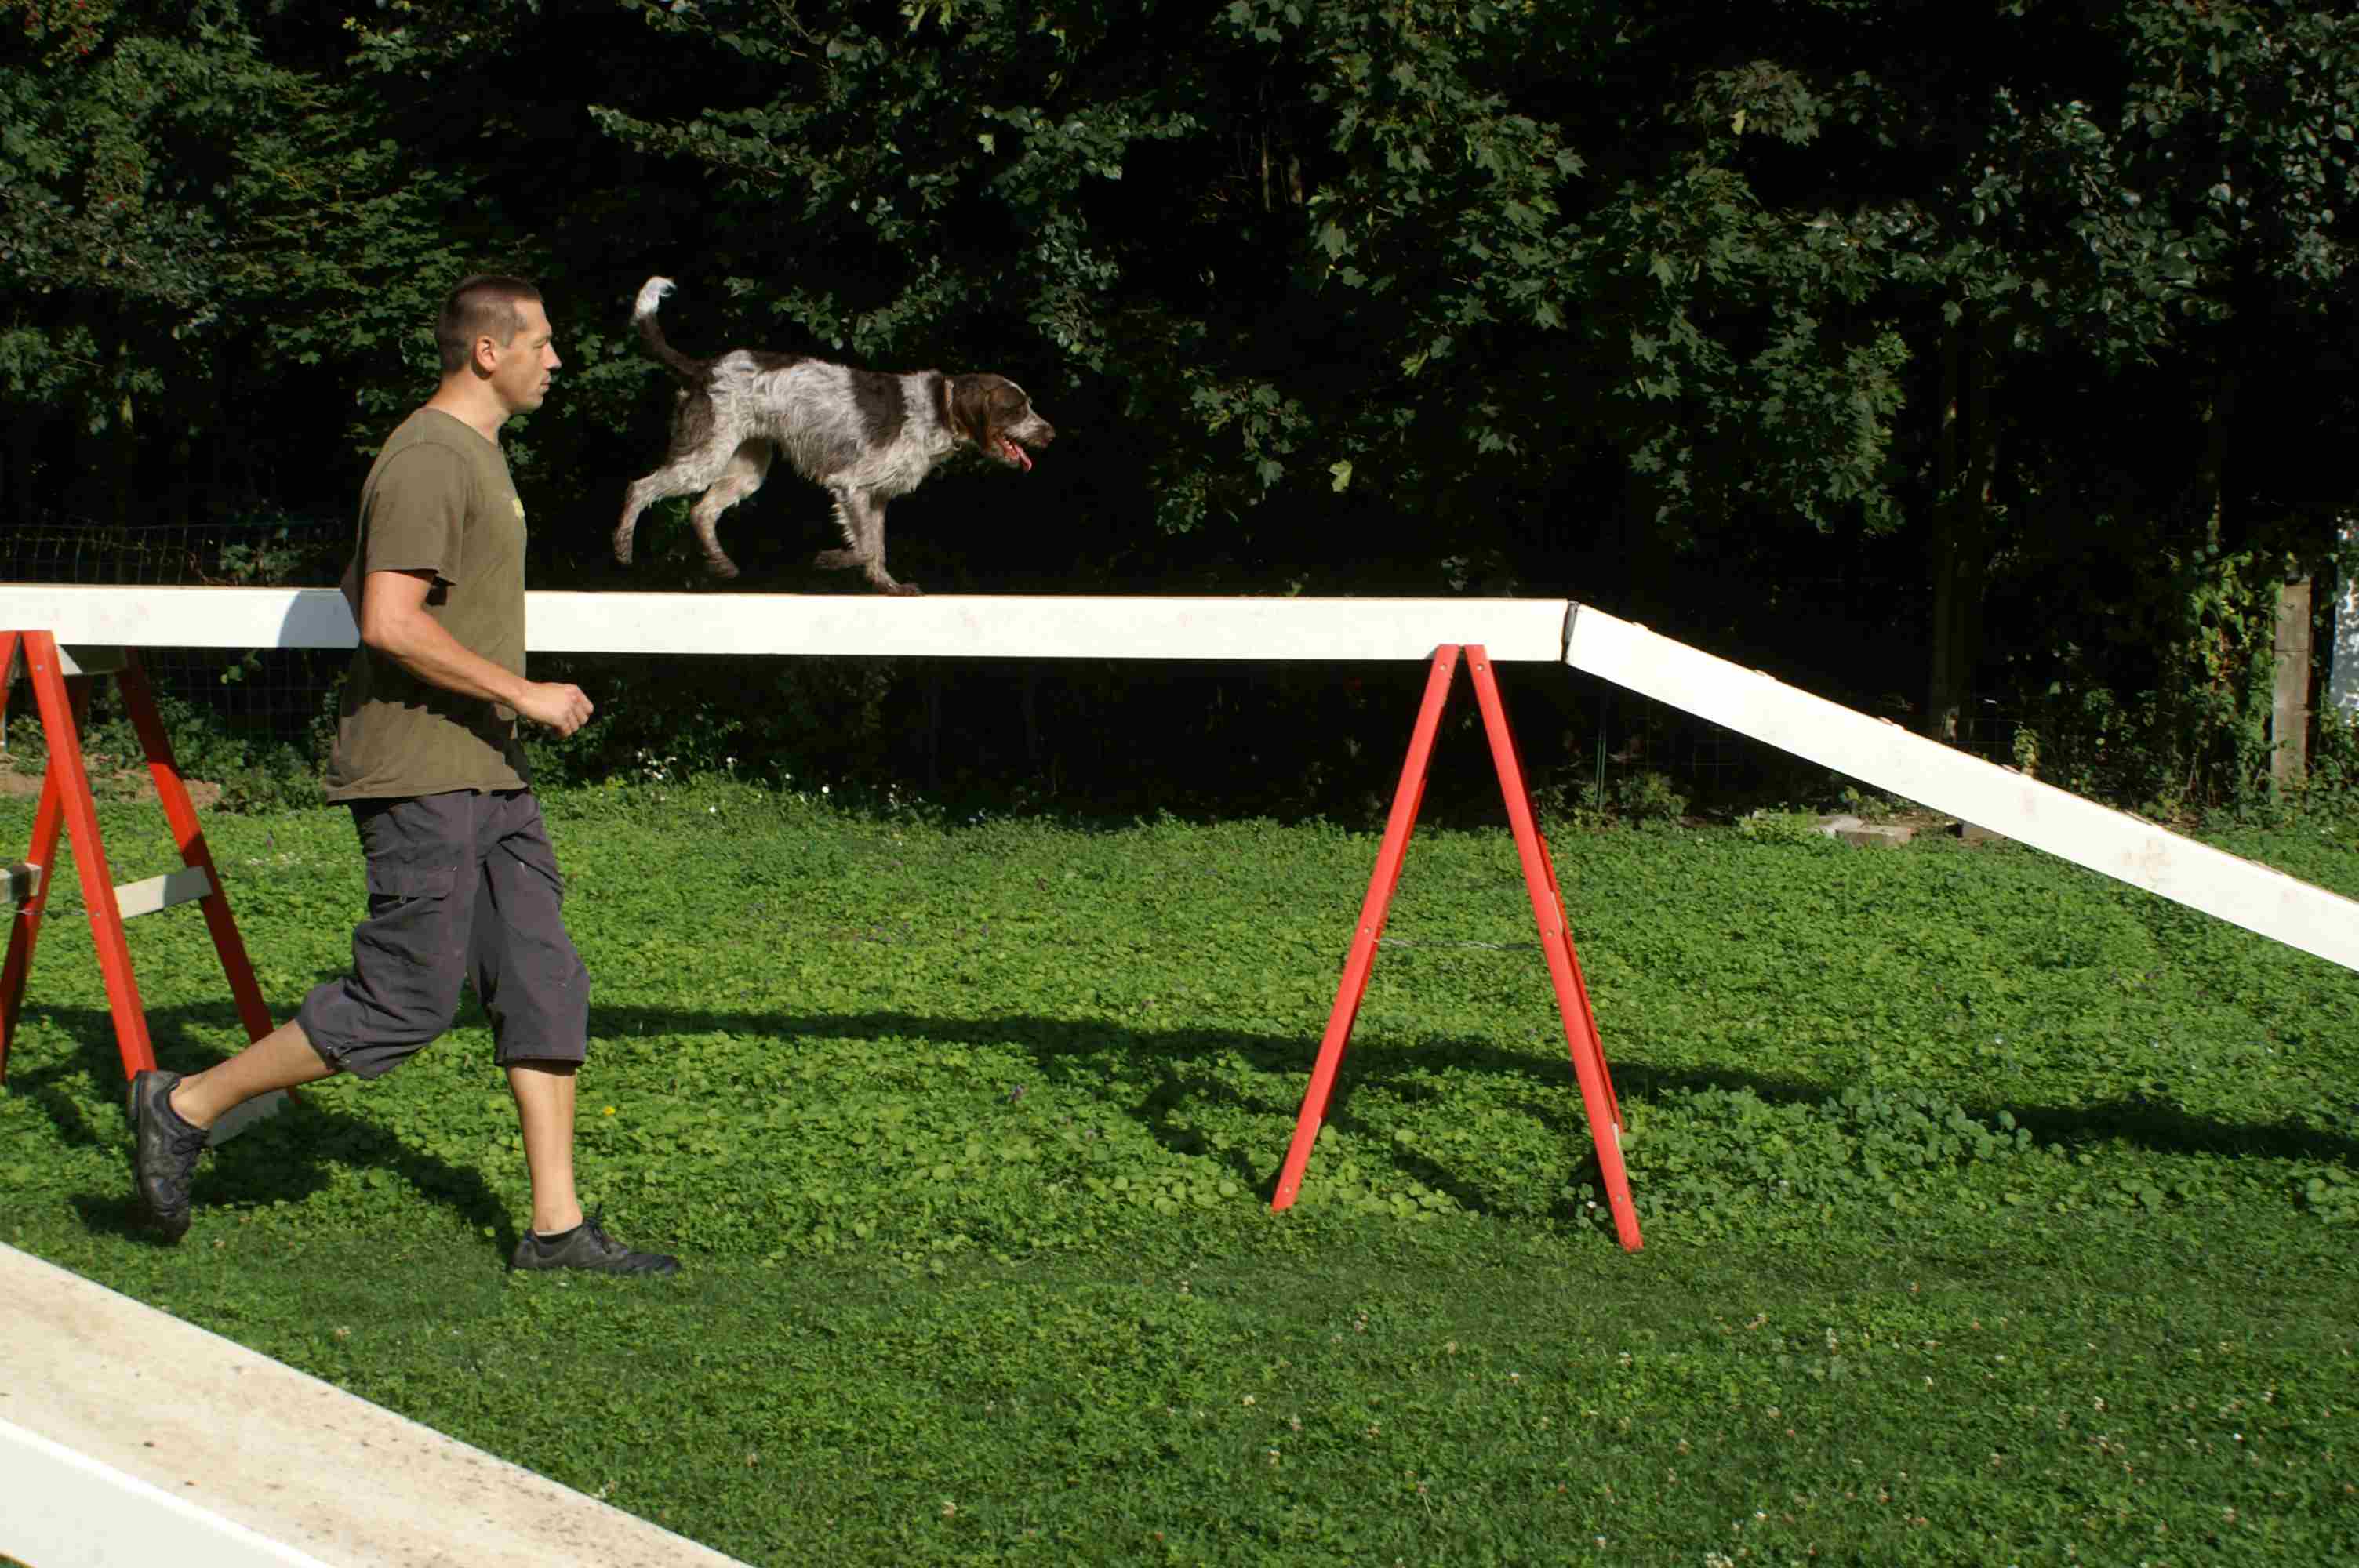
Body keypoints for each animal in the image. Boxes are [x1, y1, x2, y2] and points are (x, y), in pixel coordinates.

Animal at [614, 277, 1054, 594]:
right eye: (1017, 407)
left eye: (1028, 404)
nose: (1051, 433)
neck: (938, 408)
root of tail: (703, 368)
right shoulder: (851, 487)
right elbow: (863, 549)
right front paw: (831, 560)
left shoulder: (876, 497)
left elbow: (876, 549)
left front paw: (888, 586)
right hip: (704, 456)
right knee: (639, 487)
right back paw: (622, 548)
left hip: (746, 469)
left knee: (701, 511)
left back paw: (721, 563)